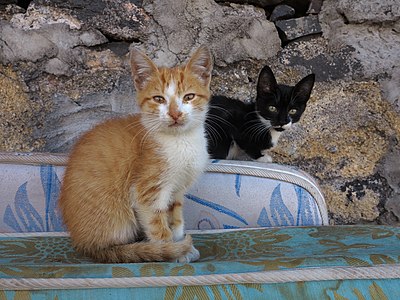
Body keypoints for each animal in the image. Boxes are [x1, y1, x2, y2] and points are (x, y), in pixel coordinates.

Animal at [59, 47, 212, 262]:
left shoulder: (177, 191)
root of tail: (83, 244)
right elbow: (158, 225)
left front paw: (181, 244)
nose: (175, 114)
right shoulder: (146, 191)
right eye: (159, 99)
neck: (180, 141)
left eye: (189, 97)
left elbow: (176, 220)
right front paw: (171, 251)